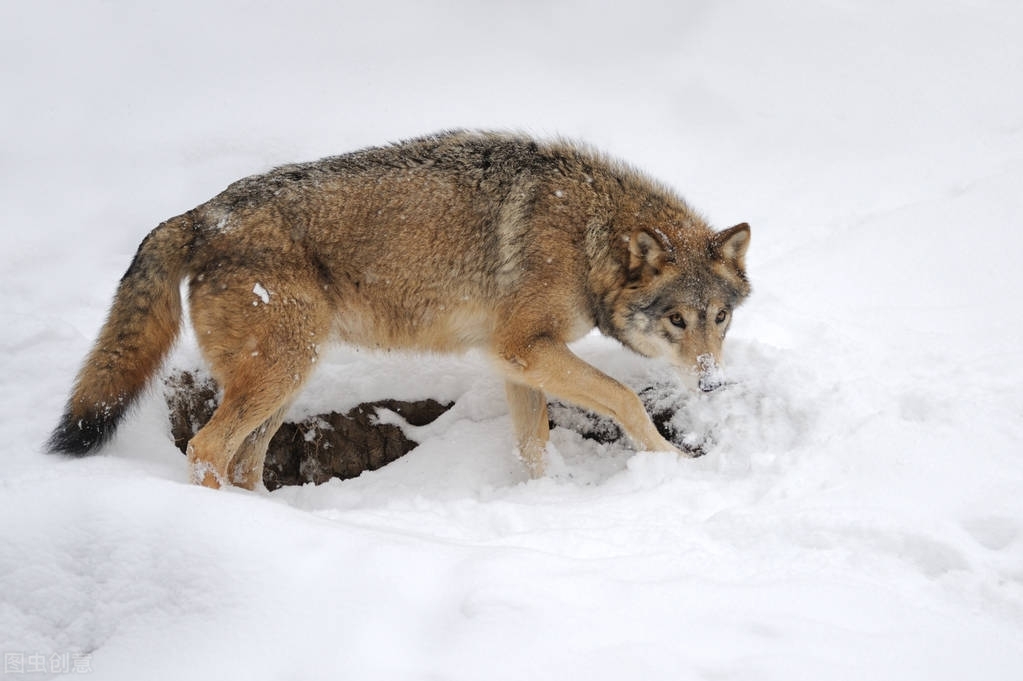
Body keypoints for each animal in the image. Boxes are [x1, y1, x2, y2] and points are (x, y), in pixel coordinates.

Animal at [48, 128, 752, 488]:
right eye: (677, 320)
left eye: (720, 319)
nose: (712, 382)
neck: (589, 237)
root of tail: (199, 214)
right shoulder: (527, 349)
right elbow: (628, 400)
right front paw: (670, 470)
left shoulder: (516, 361)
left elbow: (533, 448)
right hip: (282, 371)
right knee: (203, 449)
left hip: (284, 381)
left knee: (244, 464)